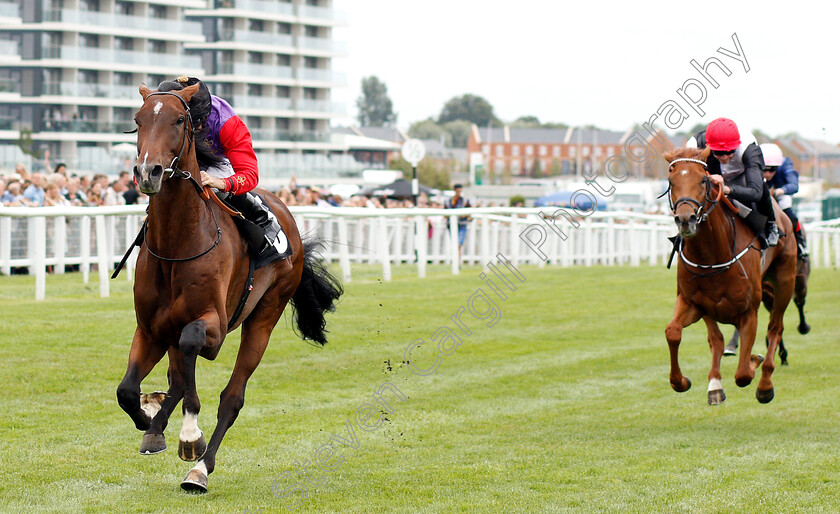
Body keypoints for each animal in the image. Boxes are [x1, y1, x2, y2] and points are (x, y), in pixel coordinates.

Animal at [116, 85, 342, 492]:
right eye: (138, 121)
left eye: (179, 119)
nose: (148, 172)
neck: (177, 244)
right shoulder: (151, 329)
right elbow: (127, 390)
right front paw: (149, 420)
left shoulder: (214, 328)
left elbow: (192, 348)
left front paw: (189, 436)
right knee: (176, 378)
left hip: (265, 316)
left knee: (231, 397)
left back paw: (199, 469)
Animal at [664, 147, 796, 404]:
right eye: (671, 181)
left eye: (703, 180)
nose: (685, 220)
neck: (712, 254)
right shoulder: (693, 302)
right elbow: (673, 332)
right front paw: (681, 381)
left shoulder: (749, 311)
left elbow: (743, 373)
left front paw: (755, 361)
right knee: (716, 339)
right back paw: (715, 384)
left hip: (785, 282)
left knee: (775, 327)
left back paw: (765, 384)